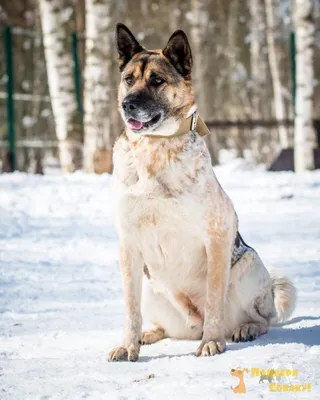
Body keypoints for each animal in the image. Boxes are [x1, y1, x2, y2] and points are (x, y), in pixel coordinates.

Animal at [109, 24, 296, 362]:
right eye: (129, 78)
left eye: (157, 80)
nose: (127, 103)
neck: (155, 147)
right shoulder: (128, 245)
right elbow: (130, 309)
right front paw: (129, 346)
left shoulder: (216, 235)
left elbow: (213, 300)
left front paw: (213, 342)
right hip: (152, 287)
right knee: (164, 325)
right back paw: (149, 334)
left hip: (249, 265)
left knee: (264, 318)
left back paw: (244, 328)